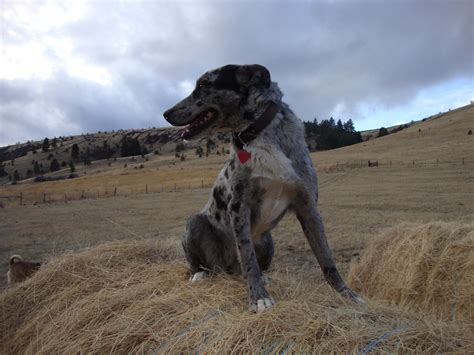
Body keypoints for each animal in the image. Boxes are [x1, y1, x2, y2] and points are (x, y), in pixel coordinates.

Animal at [163, 64, 362, 314]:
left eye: (204, 84)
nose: (166, 113)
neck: (258, 133)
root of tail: (228, 269)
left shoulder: (308, 206)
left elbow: (326, 258)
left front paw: (346, 294)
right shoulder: (239, 206)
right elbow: (248, 259)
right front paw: (259, 299)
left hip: (268, 240)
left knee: (256, 267)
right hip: (194, 224)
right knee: (204, 264)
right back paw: (200, 275)